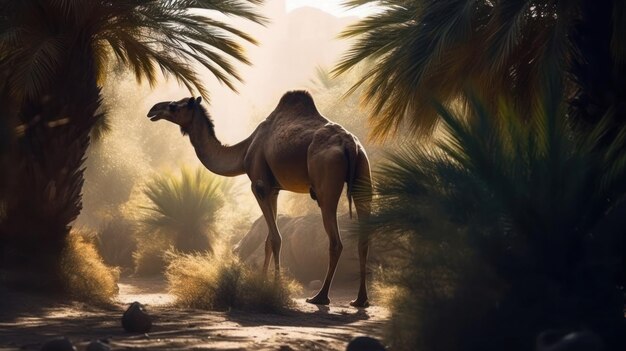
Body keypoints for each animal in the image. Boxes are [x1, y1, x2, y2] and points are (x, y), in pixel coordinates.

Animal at [146, 91, 370, 308]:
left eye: (174, 106)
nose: (152, 110)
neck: (245, 150)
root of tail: (350, 145)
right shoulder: (274, 189)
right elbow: (268, 240)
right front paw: (264, 282)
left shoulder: (259, 185)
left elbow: (275, 238)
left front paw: (274, 288)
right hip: (363, 170)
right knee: (363, 238)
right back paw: (360, 300)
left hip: (326, 183)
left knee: (335, 241)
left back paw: (320, 297)